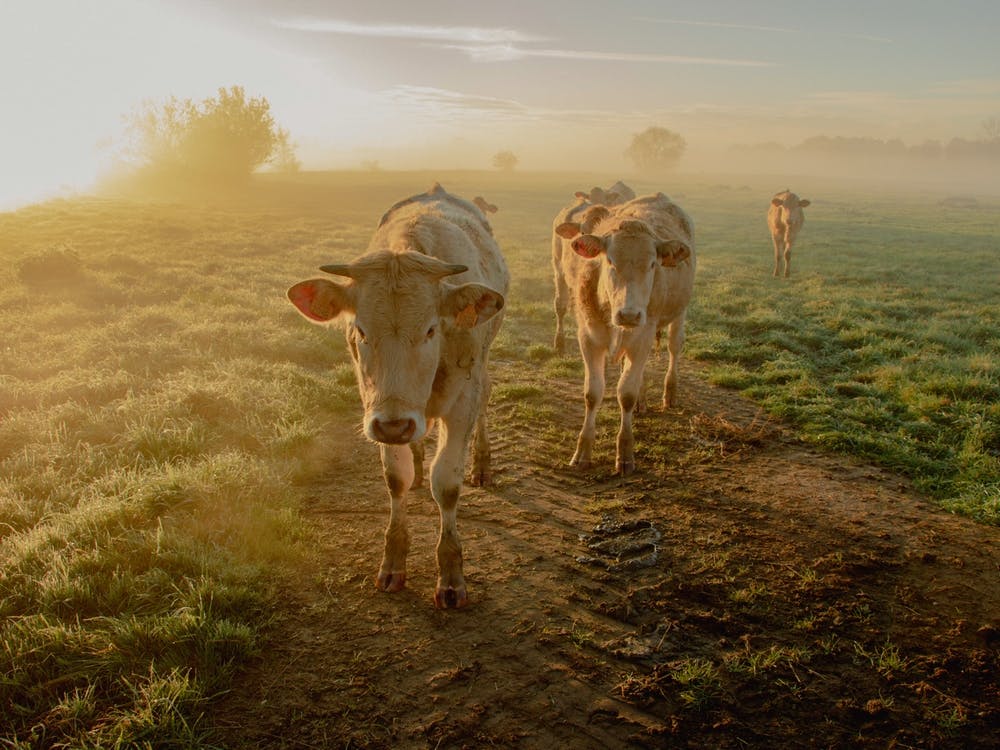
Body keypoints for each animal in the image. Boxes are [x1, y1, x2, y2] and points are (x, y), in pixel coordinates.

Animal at [287, 183, 509, 608]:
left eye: (430, 329)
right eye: (359, 329)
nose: (395, 426)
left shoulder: (462, 401)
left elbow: (447, 484)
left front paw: (451, 577)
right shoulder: (374, 406)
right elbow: (395, 478)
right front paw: (393, 563)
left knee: (486, 400)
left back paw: (482, 463)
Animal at [554, 192, 696, 475]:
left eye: (652, 264)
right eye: (609, 260)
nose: (629, 315)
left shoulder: (641, 339)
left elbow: (626, 394)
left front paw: (625, 453)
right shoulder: (589, 339)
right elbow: (592, 394)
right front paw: (583, 451)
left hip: (678, 314)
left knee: (674, 348)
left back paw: (669, 392)